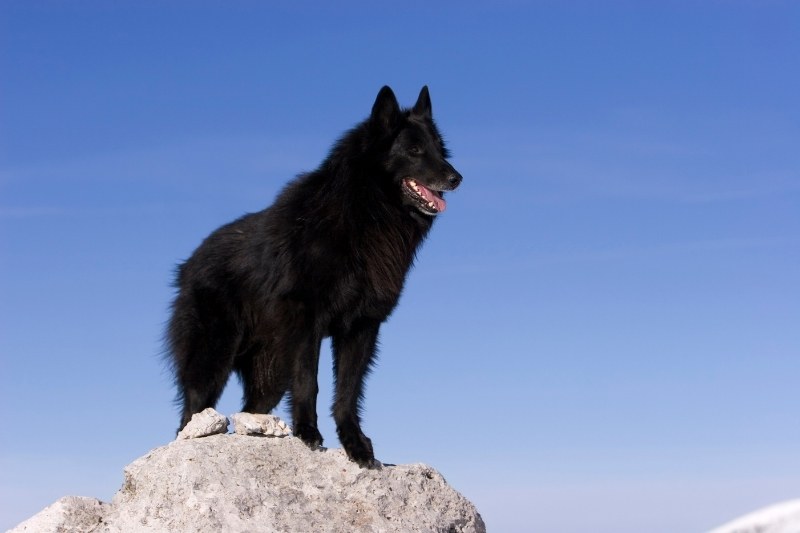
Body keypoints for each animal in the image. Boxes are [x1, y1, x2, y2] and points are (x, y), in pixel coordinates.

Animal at [166, 85, 460, 464]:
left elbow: (348, 391)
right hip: (211, 359)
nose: (456, 178)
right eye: (414, 150)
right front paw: (308, 432)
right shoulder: (308, 322)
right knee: (190, 414)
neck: (364, 215)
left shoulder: (361, 328)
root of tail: (189, 262)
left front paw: (355, 443)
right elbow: (310, 381)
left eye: (440, 149)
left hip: (270, 376)